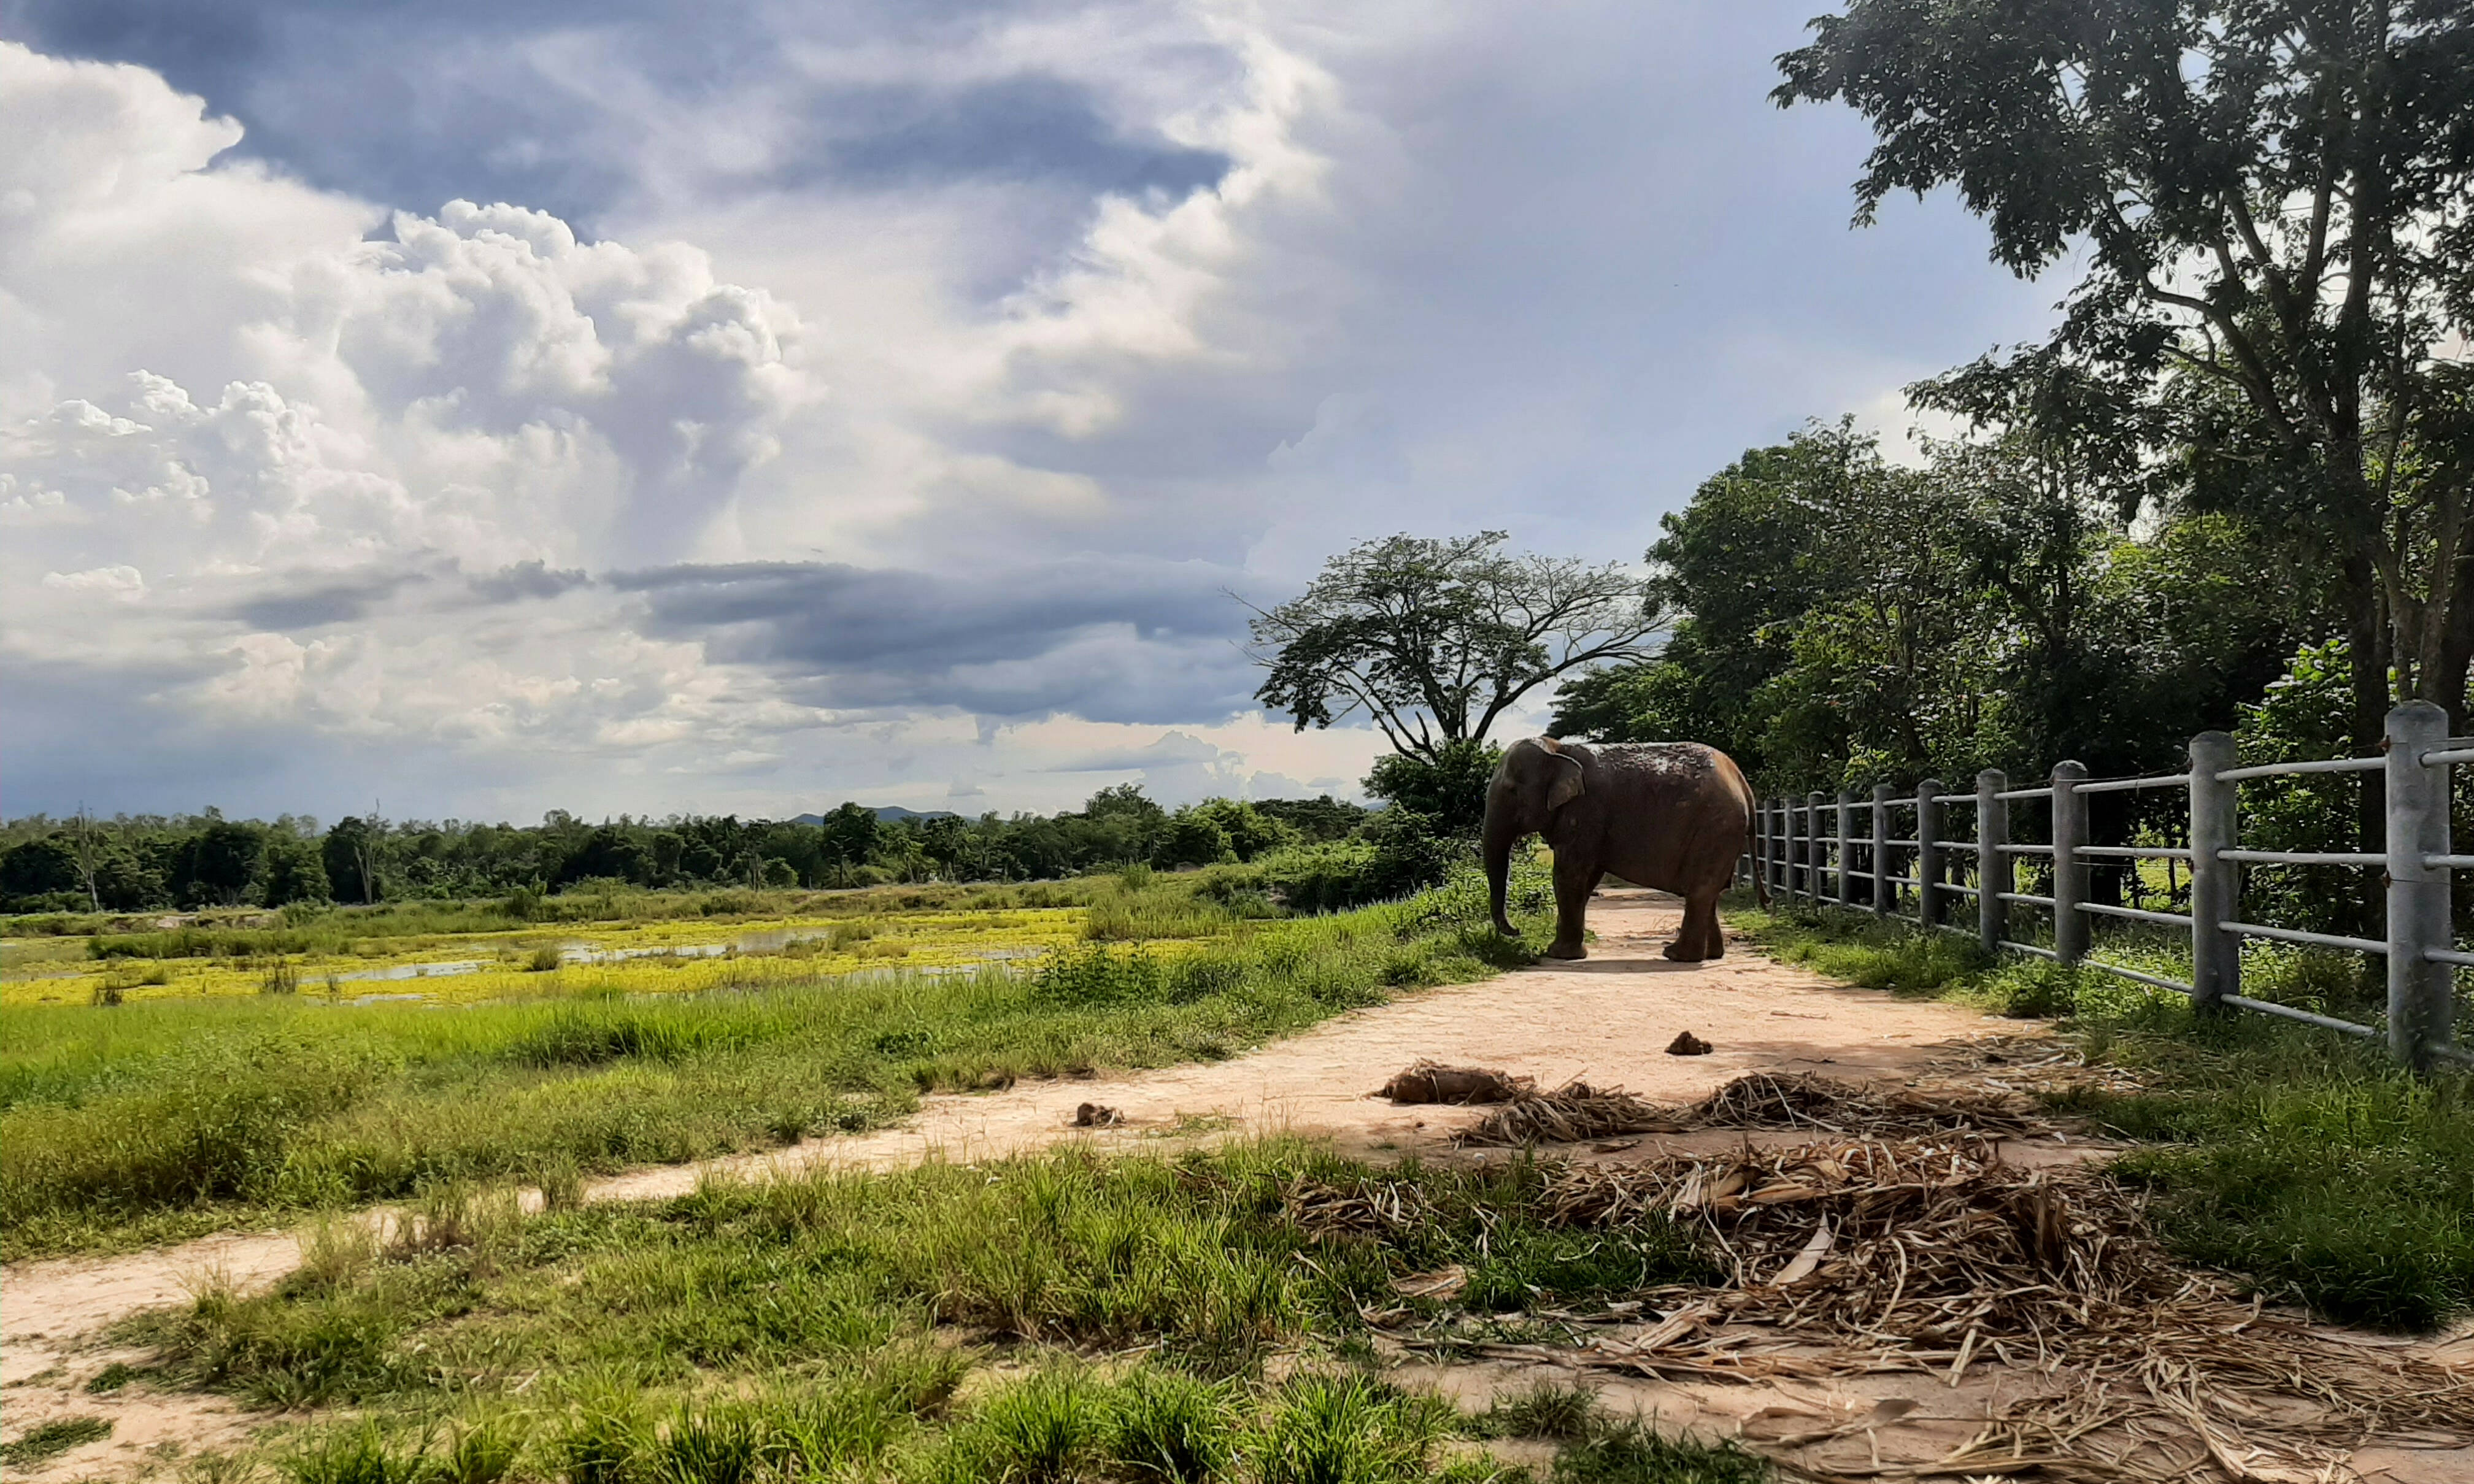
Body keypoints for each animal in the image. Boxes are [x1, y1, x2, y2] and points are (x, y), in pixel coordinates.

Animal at [1484, 737, 1761, 964]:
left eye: (1511, 790)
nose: (1517, 931)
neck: (1557, 749)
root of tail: (1741, 780)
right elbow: (1587, 879)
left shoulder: (1586, 811)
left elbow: (1568, 876)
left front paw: (1558, 955)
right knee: (1709, 893)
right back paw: (1710, 956)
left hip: (1715, 827)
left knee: (1700, 891)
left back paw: (1676, 956)